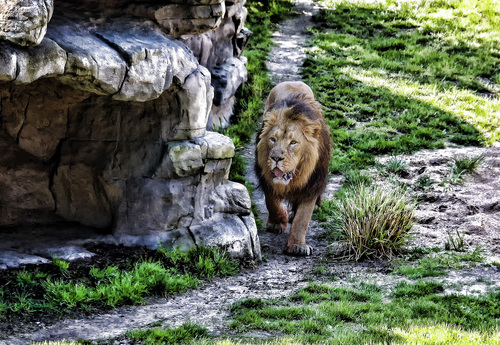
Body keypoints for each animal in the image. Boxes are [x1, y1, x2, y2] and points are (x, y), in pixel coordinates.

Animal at [254, 80, 332, 255]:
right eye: (273, 139)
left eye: (293, 142)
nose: (276, 158)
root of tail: (292, 81)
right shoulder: (266, 178)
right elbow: (271, 202)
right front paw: (278, 222)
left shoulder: (312, 184)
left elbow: (303, 218)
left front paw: (297, 246)